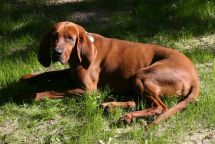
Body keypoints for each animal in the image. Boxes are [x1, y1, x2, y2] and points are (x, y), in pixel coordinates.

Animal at [21, 21, 199, 125]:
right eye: (53, 36)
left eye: (70, 38)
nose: (56, 52)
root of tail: (194, 76)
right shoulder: (70, 73)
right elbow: (50, 74)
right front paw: (28, 77)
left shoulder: (88, 90)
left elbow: (52, 91)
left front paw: (32, 95)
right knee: (137, 101)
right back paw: (111, 106)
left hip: (141, 76)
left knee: (160, 107)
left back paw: (128, 116)